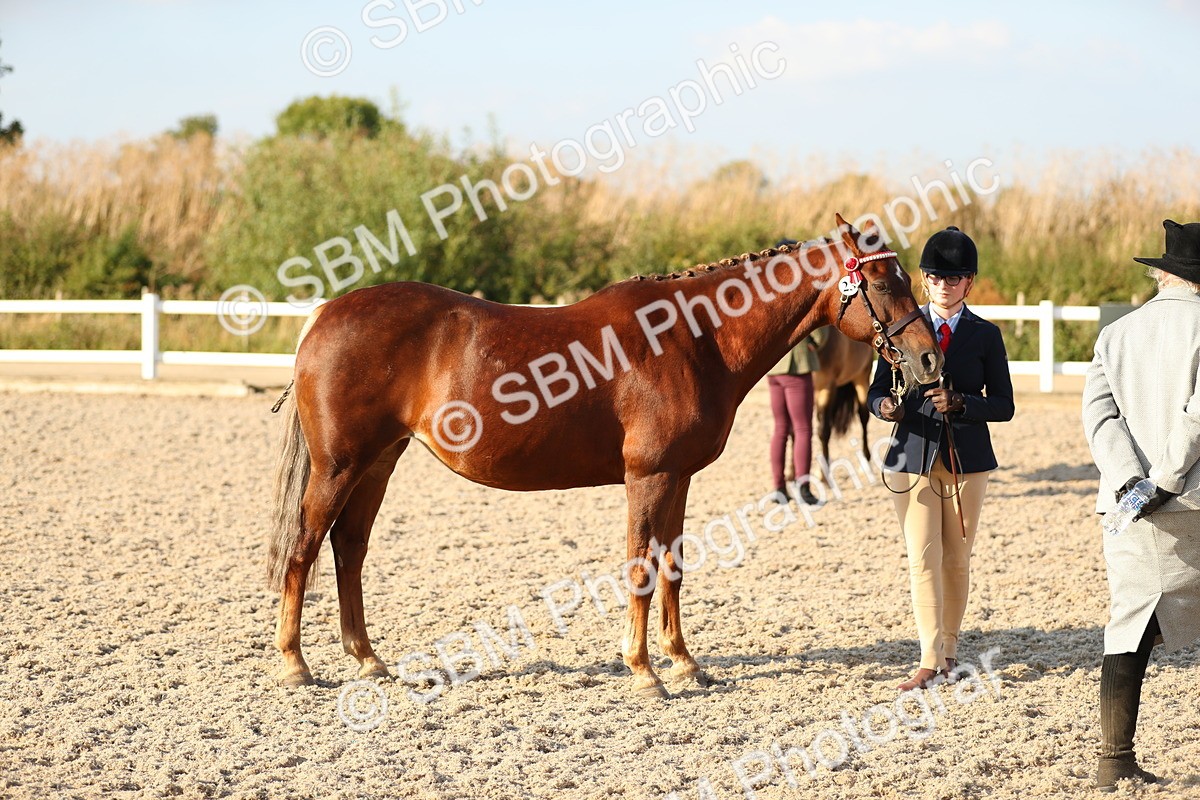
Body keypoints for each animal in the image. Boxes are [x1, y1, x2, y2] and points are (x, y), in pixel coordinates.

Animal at [267, 214, 942, 698]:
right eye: (884, 283)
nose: (929, 357)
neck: (692, 338)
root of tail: (324, 313)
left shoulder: (677, 478)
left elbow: (672, 565)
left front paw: (684, 662)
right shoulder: (648, 477)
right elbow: (641, 568)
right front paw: (643, 672)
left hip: (378, 463)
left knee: (349, 549)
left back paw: (368, 660)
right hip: (340, 466)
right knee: (304, 547)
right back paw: (295, 666)